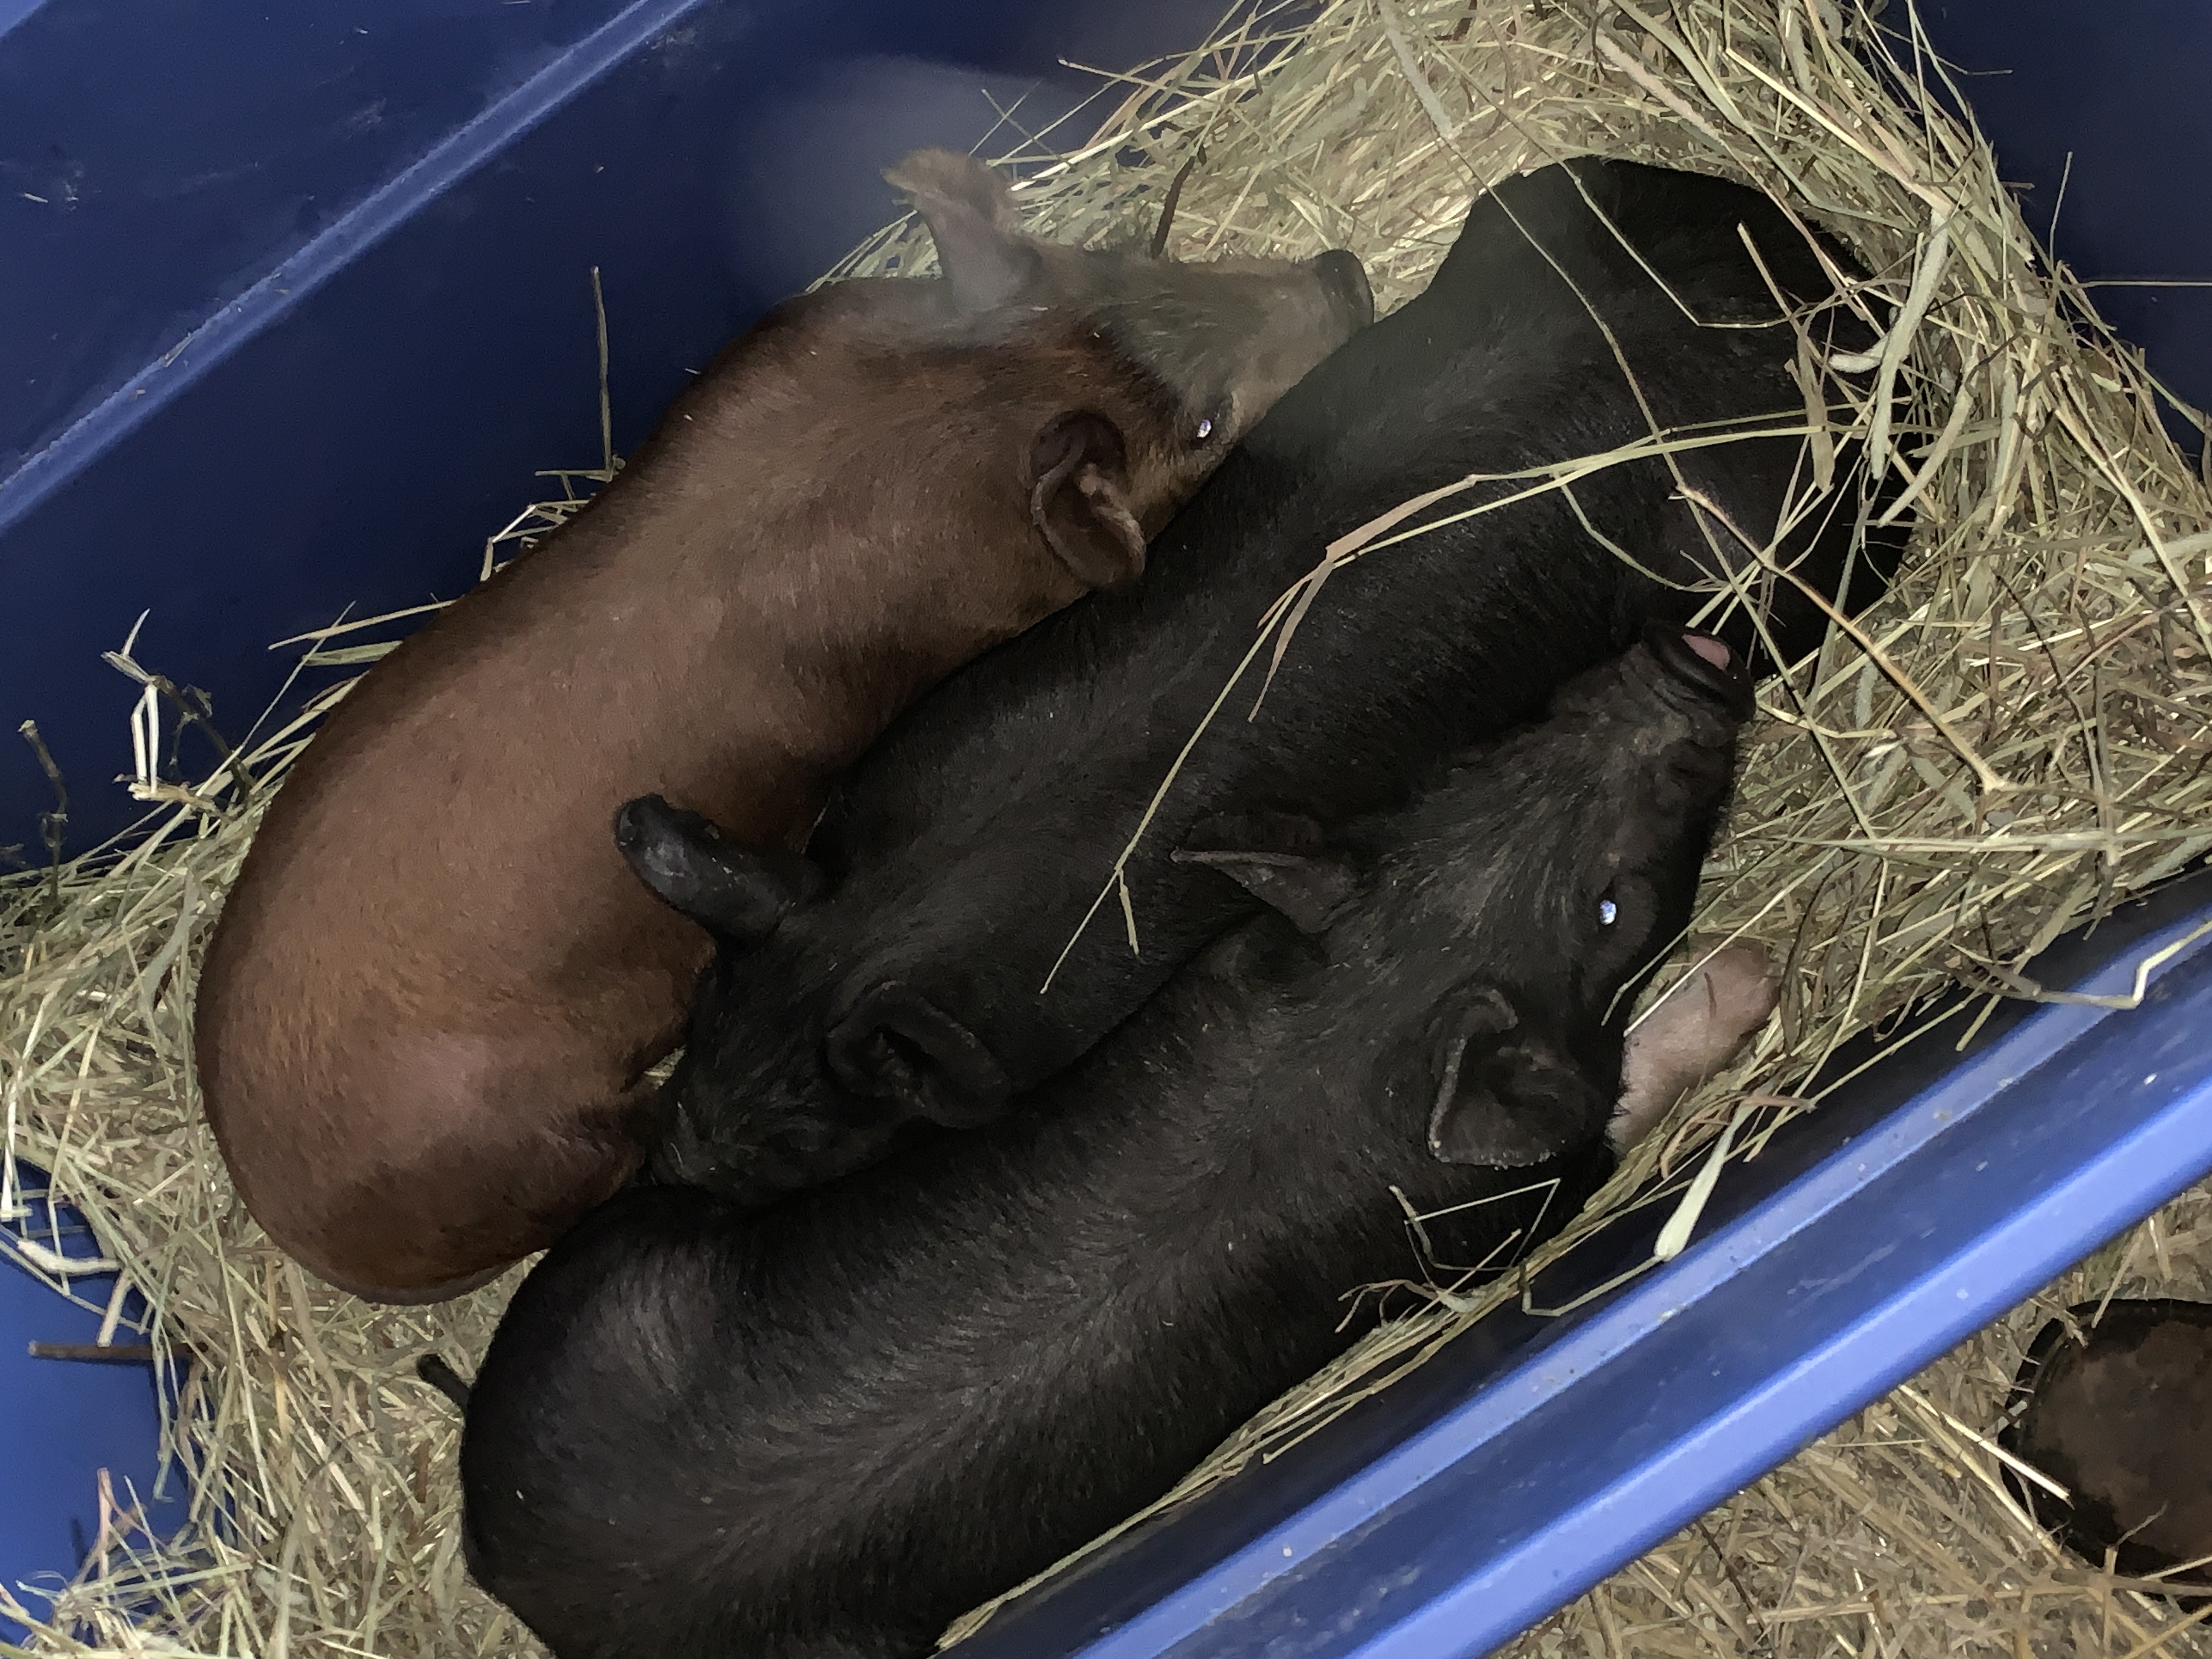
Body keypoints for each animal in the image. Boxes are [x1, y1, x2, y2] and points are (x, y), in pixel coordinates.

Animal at [191, 147, 1373, 1303]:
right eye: (1206, 423)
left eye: (1124, 265)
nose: (1345, 272)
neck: (953, 420)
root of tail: (295, 1217)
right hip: (539, 1137)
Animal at [457, 623, 1754, 1659]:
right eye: (1609, 906)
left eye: (1489, 753)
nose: (1685, 657)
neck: (1378, 1020)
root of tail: (508, 1562)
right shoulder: (1503, 1210)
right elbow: (1614, 1101)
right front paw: (1749, 979)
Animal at [623, 156, 1902, 1203]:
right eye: (709, 997)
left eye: (821, 1125)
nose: (676, 1161)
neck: (901, 916)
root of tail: (1832, 273)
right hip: (1541, 204)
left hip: (1774, 546)